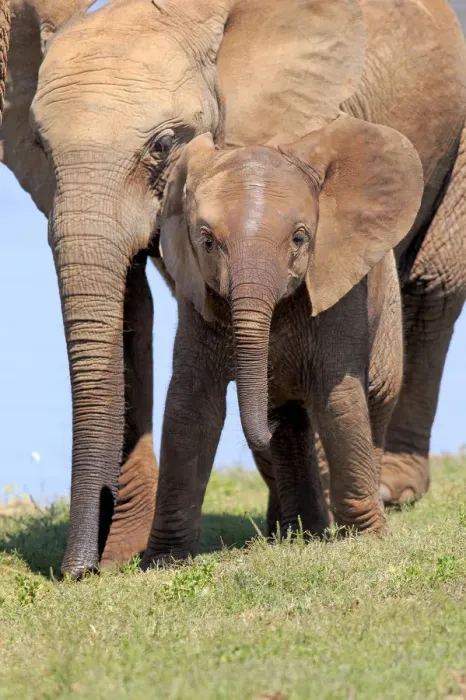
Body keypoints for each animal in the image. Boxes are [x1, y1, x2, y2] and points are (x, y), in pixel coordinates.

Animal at [143, 123, 423, 562]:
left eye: (299, 238)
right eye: (206, 241)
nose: (262, 430)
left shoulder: (340, 292)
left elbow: (337, 399)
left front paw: (369, 541)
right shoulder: (196, 297)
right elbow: (191, 408)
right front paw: (162, 562)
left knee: (376, 400)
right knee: (292, 424)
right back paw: (303, 536)